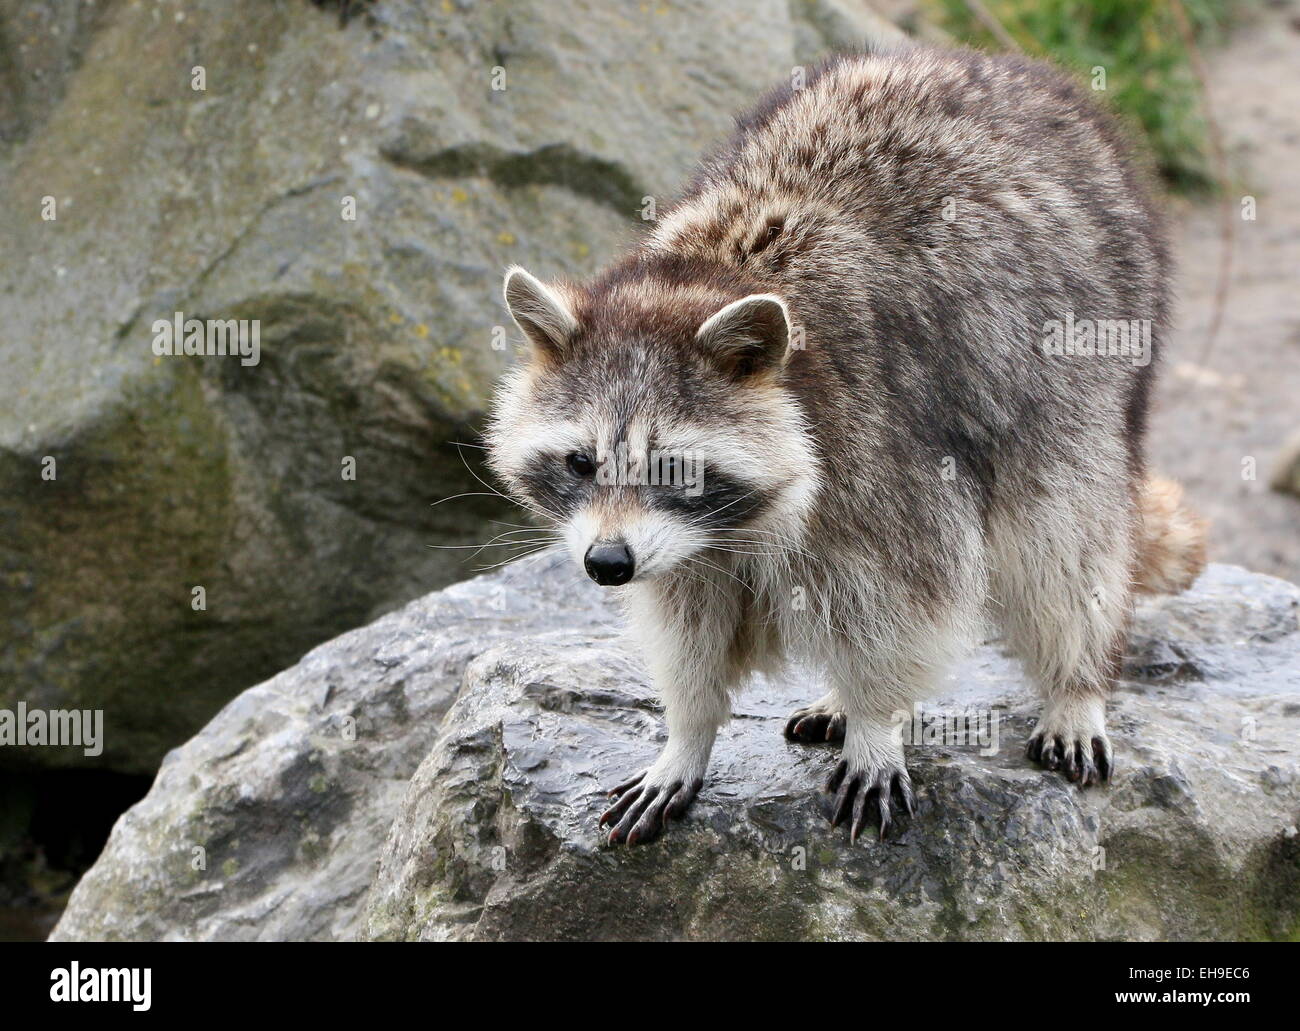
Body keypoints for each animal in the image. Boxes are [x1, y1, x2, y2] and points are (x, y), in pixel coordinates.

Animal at [486, 44, 1206, 842]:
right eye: (580, 462)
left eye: (674, 466)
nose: (606, 565)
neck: (709, 274)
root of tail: (994, 64)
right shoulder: (680, 547)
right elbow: (690, 621)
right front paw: (687, 732)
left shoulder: (879, 445)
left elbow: (913, 596)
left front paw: (876, 723)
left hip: (1084, 360)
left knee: (1061, 540)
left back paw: (1075, 683)